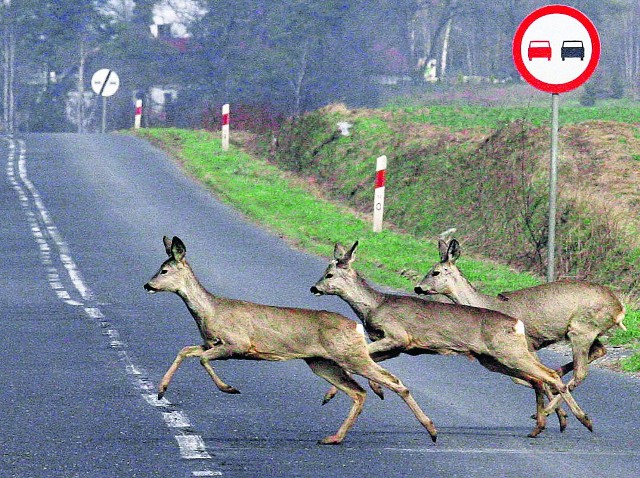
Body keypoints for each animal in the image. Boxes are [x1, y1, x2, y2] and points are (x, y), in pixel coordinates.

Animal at [142, 235, 438, 444]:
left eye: (164, 271)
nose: (147, 285)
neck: (210, 311)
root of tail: (355, 326)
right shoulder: (211, 342)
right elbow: (185, 350)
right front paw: (161, 391)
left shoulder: (237, 343)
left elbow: (202, 359)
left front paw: (229, 388)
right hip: (322, 362)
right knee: (358, 392)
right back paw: (334, 437)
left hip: (349, 356)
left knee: (393, 382)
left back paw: (431, 430)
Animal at [310, 241, 596, 438]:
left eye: (329, 275)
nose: (314, 287)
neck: (373, 305)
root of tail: (516, 323)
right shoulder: (395, 346)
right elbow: (362, 360)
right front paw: (340, 393)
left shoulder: (397, 335)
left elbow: (360, 357)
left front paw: (362, 390)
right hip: (492, 359)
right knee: (537, 379)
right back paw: (542, 426)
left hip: (508, 352)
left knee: (550, 374)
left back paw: (584, 420)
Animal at [412, 239, 628, 418]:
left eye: (435, 272)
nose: (418, 287)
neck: (487, 304)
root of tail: (619, 309)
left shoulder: (528, 343)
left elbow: (526, 378)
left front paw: (555, 412)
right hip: (587, 331)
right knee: (598, 351)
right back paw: (557, 382)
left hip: (581, 329)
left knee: (581, 371)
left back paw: (550, 409)